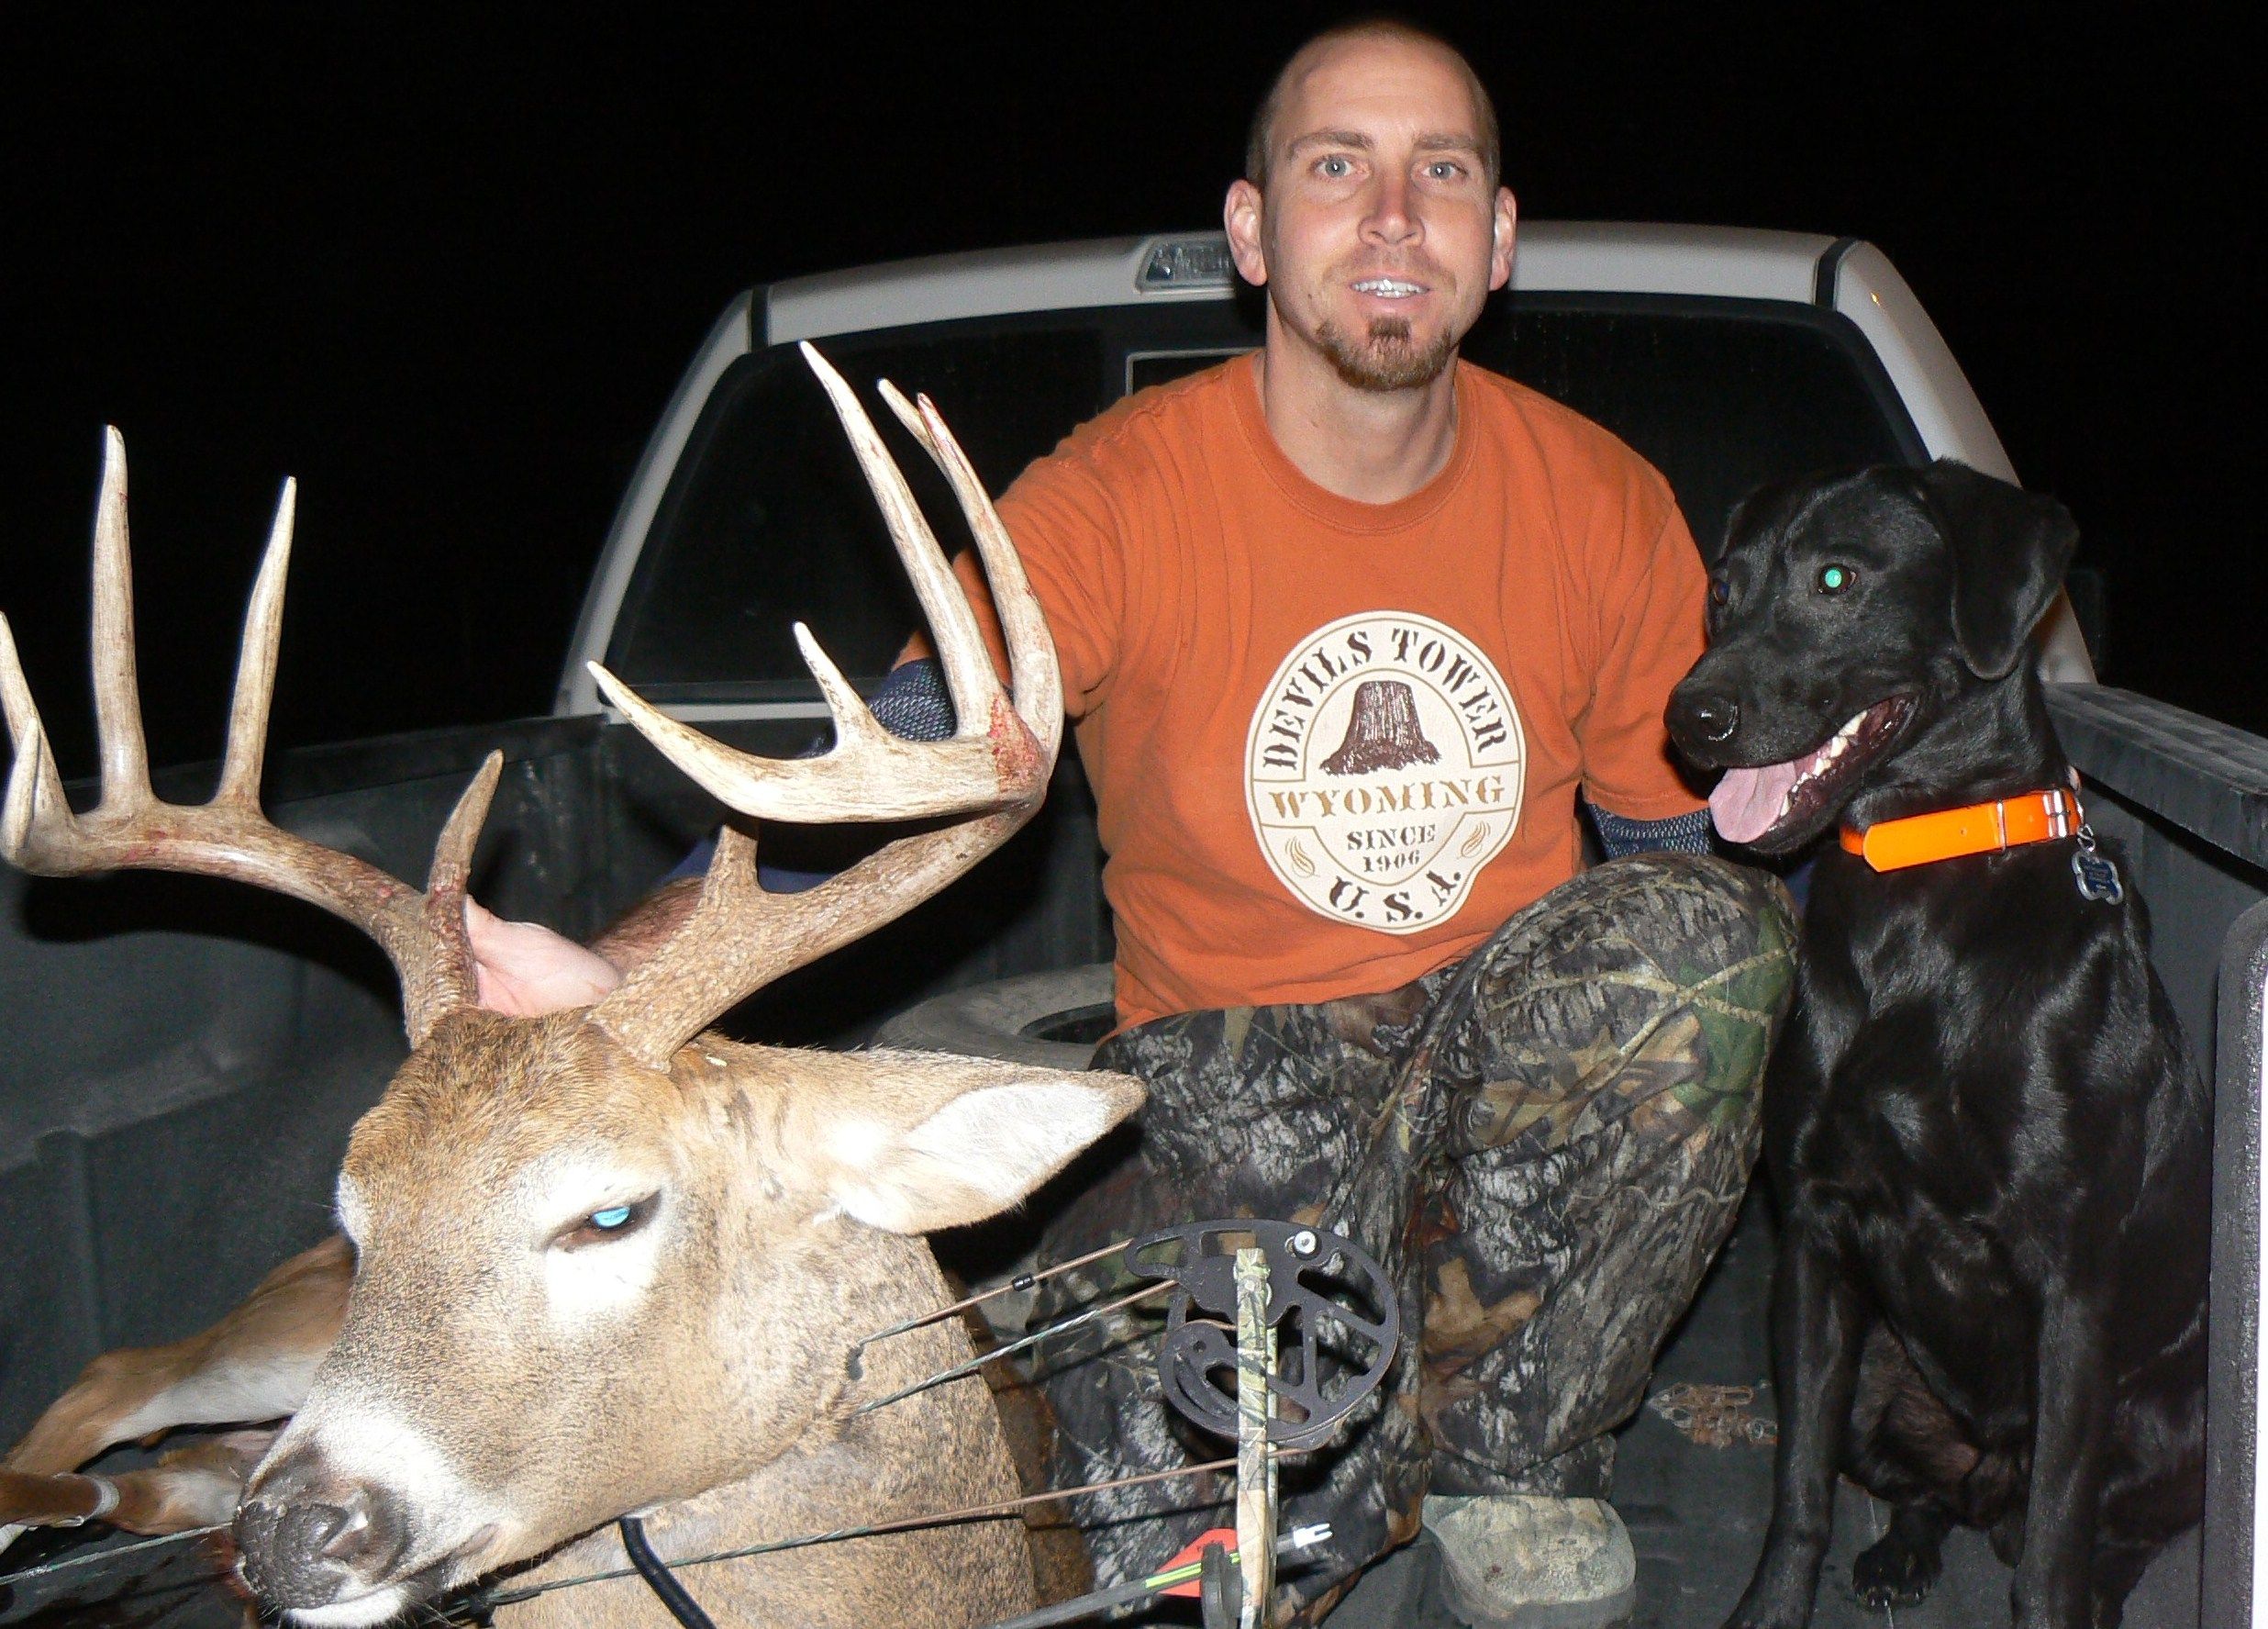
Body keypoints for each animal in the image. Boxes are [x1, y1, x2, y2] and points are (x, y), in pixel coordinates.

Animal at [1660, 463, 2204, 1629]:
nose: (1691, 717)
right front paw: (1773, 1607)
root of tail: (1982, 1469)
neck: (1912, 890)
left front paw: (2057, 1596)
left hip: (2166, 1412)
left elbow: (2054, 1542)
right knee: (1922, 1495)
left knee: (2101, 1532)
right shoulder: (1815, 1246)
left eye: (1836, 578)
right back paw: (1904, 1549)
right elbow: (1800, 1487)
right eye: (1721, 589)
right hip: (1878, 1370)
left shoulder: (2072, 1285)